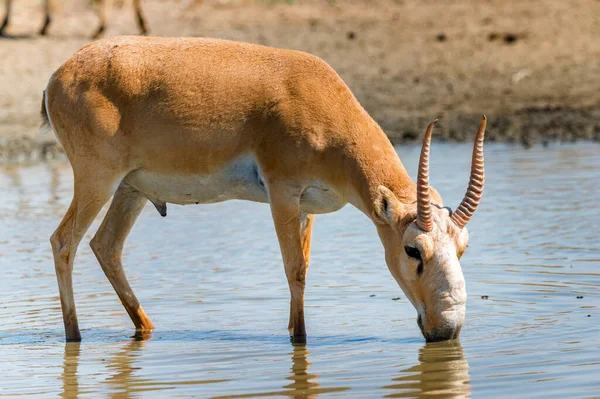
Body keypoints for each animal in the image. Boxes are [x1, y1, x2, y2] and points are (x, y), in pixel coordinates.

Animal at [42, 36, 486, 344]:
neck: (315, 94)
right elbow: (295, 269)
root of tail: (58, 76)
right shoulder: (282, 194)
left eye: (463, 246)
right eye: (413, 250)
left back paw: (145, 327)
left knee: (105, 245)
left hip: (130, 189)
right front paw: (300, 340)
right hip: (98, 181)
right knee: (63, 242)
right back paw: (74, 336)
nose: (447, 330)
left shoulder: (308, 207)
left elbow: (305, 264)